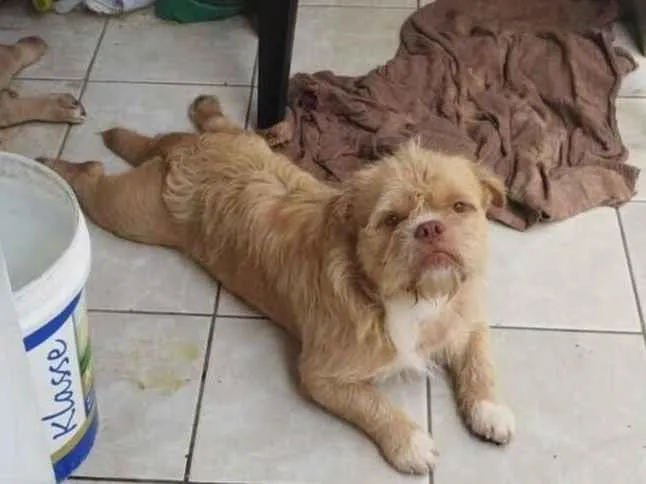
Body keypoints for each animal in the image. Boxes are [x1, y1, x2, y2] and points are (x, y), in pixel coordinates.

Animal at [38, 94, 515, 474]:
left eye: (460, 207)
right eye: (391, 220)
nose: (430, 228)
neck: (410, 299)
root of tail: (186, 152)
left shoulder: (468, 321)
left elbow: (480, 364)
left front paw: (490, 408)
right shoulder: (322, 376)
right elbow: (373, 405)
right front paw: (409, 440)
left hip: (244, 140)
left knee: (215, 122)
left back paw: (204, 106)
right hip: (130, 213)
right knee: (93, 179)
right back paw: (57, 167)